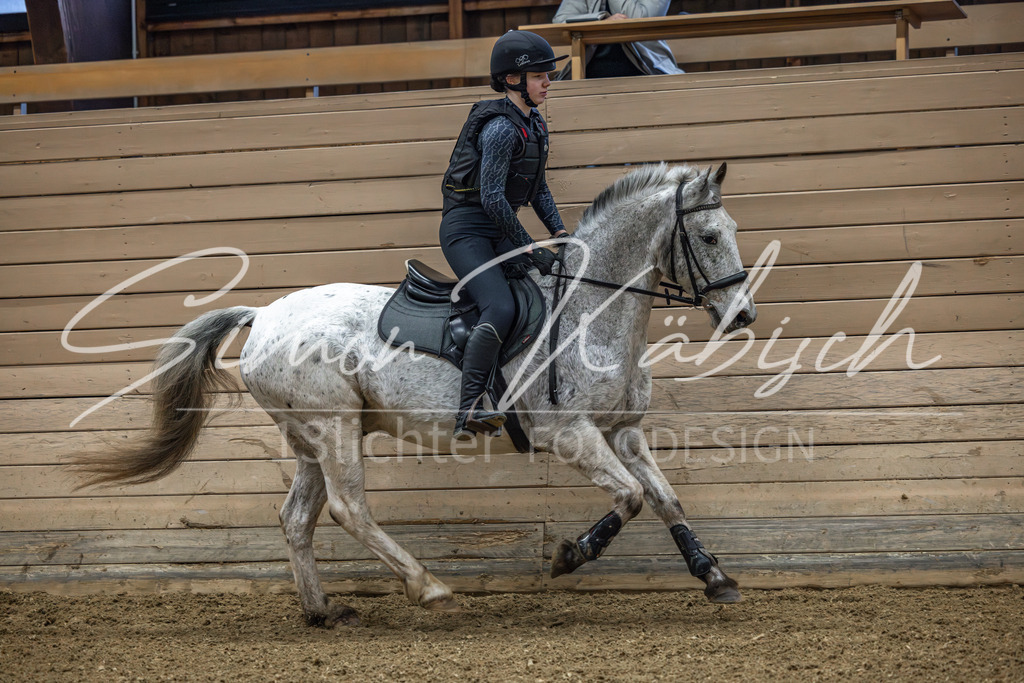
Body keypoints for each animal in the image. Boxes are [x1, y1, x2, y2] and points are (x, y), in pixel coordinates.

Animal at [72, 162, 757, 627]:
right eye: (710, 237)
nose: (743, 315)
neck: (592, 309)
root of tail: (263, 315)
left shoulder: (623, 430)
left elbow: (664, 497)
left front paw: (713, 575)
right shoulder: (570, 434)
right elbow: (632, 496)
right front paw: (569, 555)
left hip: (309, 436)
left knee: (297, 518)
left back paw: (322, 613)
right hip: (335, 427)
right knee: (348, 509)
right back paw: (428, 587)